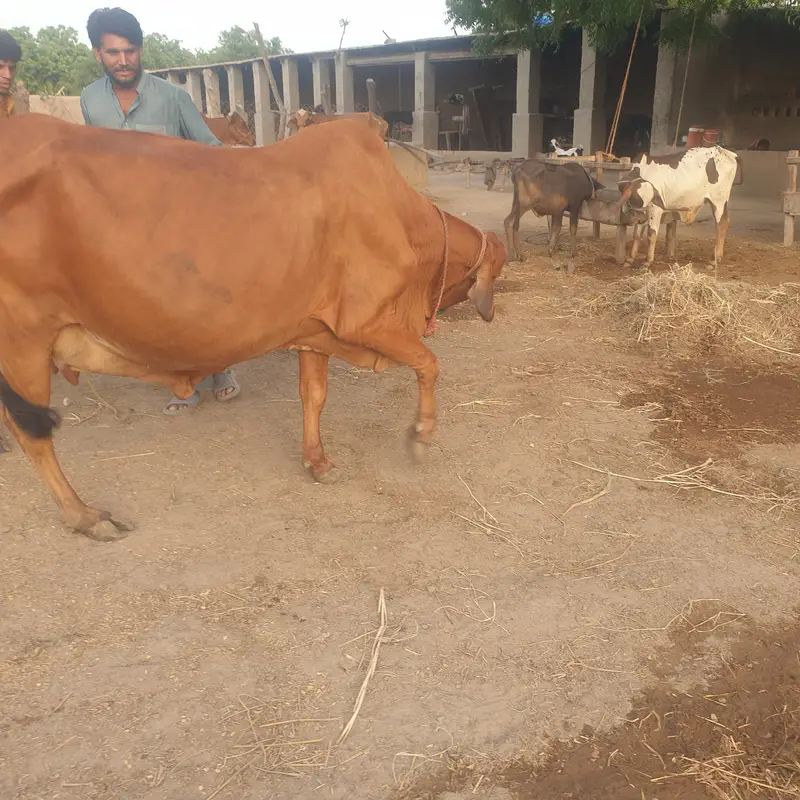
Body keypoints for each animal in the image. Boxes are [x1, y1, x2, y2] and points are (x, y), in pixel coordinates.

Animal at [0, 113, 505, 541]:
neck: (403, 219)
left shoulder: (314, 331)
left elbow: (313, 396)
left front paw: (317, 461)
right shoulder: (366, 320)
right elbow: (429, 364)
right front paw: (420, 435)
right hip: (23, 340)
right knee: (33, 436)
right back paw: (85, 516)